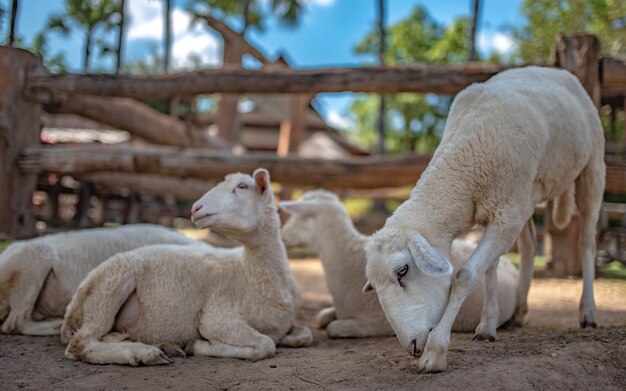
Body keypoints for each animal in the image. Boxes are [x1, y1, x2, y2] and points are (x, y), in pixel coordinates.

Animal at [60, 169, 310, 368]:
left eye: (242, 187)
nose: (196, 208)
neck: (250, 275)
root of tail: (71, 310)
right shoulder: (218, 317)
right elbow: (266, 345)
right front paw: (198, 345)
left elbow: (304, 335)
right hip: (108, 287)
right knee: (80, 344)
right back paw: (144, 353)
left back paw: (158, 345)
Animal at [280, 188, 516, 338]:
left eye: (297, 216)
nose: (282, 236)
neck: (344, 257)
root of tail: (510, 265)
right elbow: (322, 317)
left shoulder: (375, 322)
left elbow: (333, 328)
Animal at [364, 66, 604, 374]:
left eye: (402, 270)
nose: (412, 347)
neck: (465, 164)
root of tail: (554, 70)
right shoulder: (499, 212)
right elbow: (490, 268)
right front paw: (488, 326)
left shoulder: (505, 216)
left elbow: (466, 275)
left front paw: (435, 353)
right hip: (527, 195)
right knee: (530, 245)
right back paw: (519, 311)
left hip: (592, 166)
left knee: (587, 241)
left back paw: (588, 312)